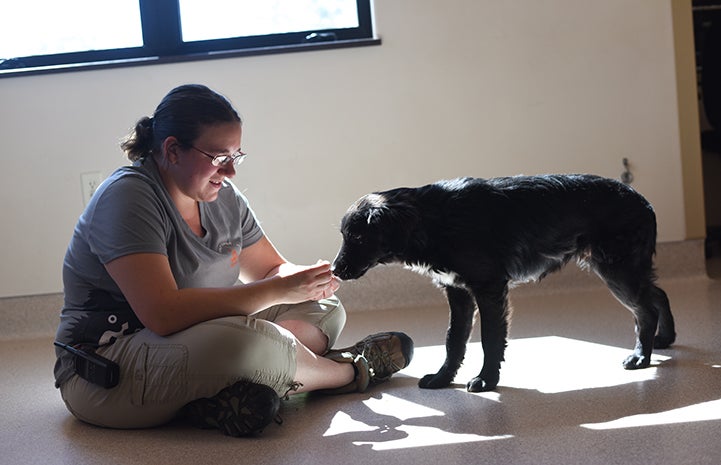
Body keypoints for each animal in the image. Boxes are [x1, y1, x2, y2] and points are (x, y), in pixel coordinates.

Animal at [332, 174, 676, 392]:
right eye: (345, 235)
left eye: (357, 236)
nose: (334, 270)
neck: (435, 220)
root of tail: (644, 202)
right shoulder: (458, 292)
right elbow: (454, 341)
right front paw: (443, 379)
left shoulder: (489, 288)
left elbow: (490, 339)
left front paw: (487, 380)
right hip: (624, 270)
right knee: (658, 294)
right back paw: (665, 339)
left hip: (617, 270)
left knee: (646, 309)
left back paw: (641, 357)